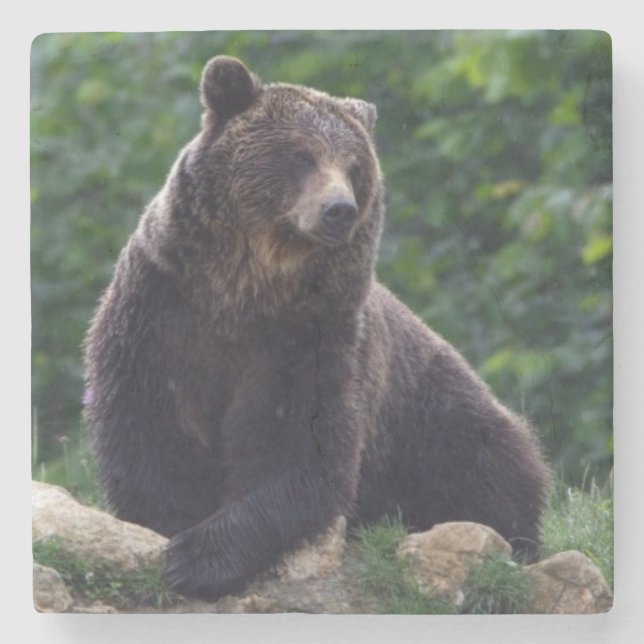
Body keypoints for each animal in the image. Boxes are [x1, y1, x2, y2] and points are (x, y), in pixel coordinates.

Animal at [84, 55, 551, 601]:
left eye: (354, 167)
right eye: (300, 155)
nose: (339, 209)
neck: (245, 288)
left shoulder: (311, 337)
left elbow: (304, 448)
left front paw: (199, 557)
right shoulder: (162, 312)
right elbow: (149, 426)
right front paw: (168, 530)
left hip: (435, 413)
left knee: (492, 467)